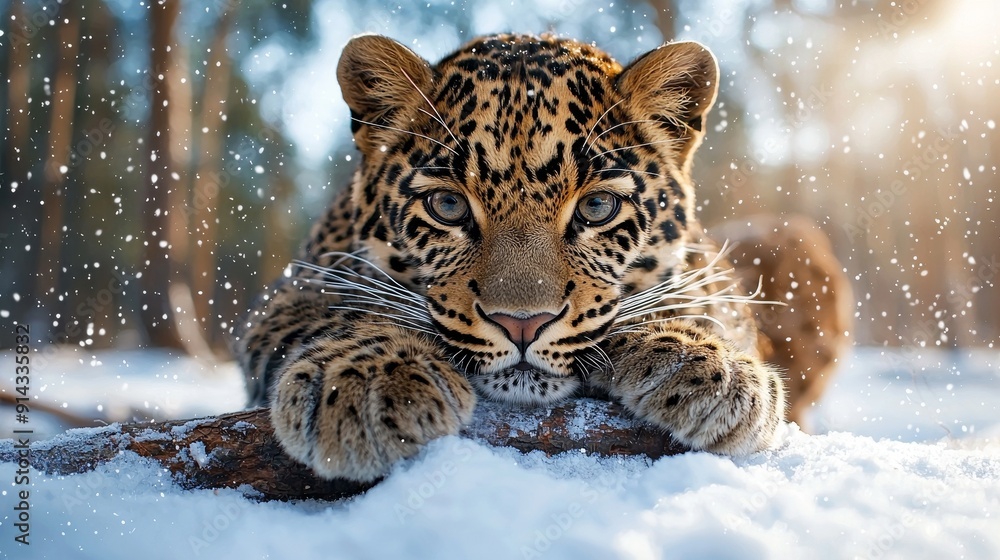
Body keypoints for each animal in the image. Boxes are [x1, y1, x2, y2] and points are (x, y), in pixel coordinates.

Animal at [234, 33, 852, 482]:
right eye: (447, 206)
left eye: (598, 207)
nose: (522, 324)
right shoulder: (293, 289)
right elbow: (345, 309)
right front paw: (367, 380)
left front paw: (709, 367)